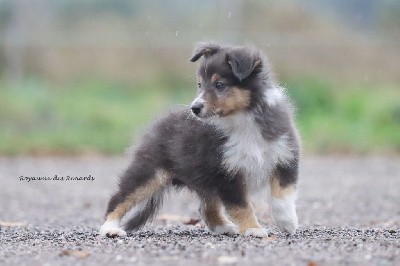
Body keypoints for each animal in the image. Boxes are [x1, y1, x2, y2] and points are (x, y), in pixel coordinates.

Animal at [99, 42, 300, 238]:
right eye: (199, 85)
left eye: (219, 84)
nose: (194, 108)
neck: (243, 121)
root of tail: (157, 123)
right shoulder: (227, 172)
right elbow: (242, 206)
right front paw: (253, 228)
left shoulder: (285, 155)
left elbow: (282, 195)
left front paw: (287, 222)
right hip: (149, 172)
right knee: (119, 198)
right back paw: (110, 228)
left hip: (204, 179)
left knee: (205, 208)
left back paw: (223, 227)